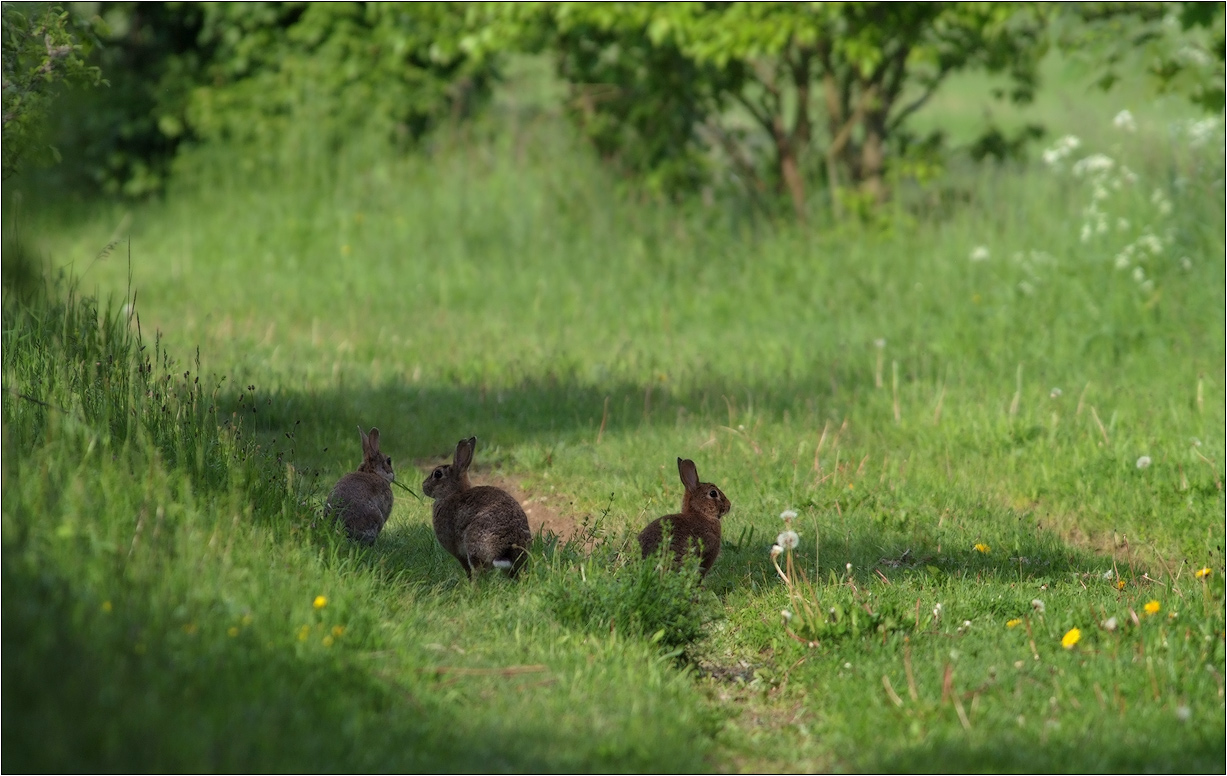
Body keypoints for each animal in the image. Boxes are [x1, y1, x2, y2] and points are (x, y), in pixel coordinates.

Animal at [422, 437, 532, 577]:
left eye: (437, 474)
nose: (423, 486)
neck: (452, 493)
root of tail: (506, 547)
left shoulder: (457, 551)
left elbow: (465, 567)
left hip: (473, 546)